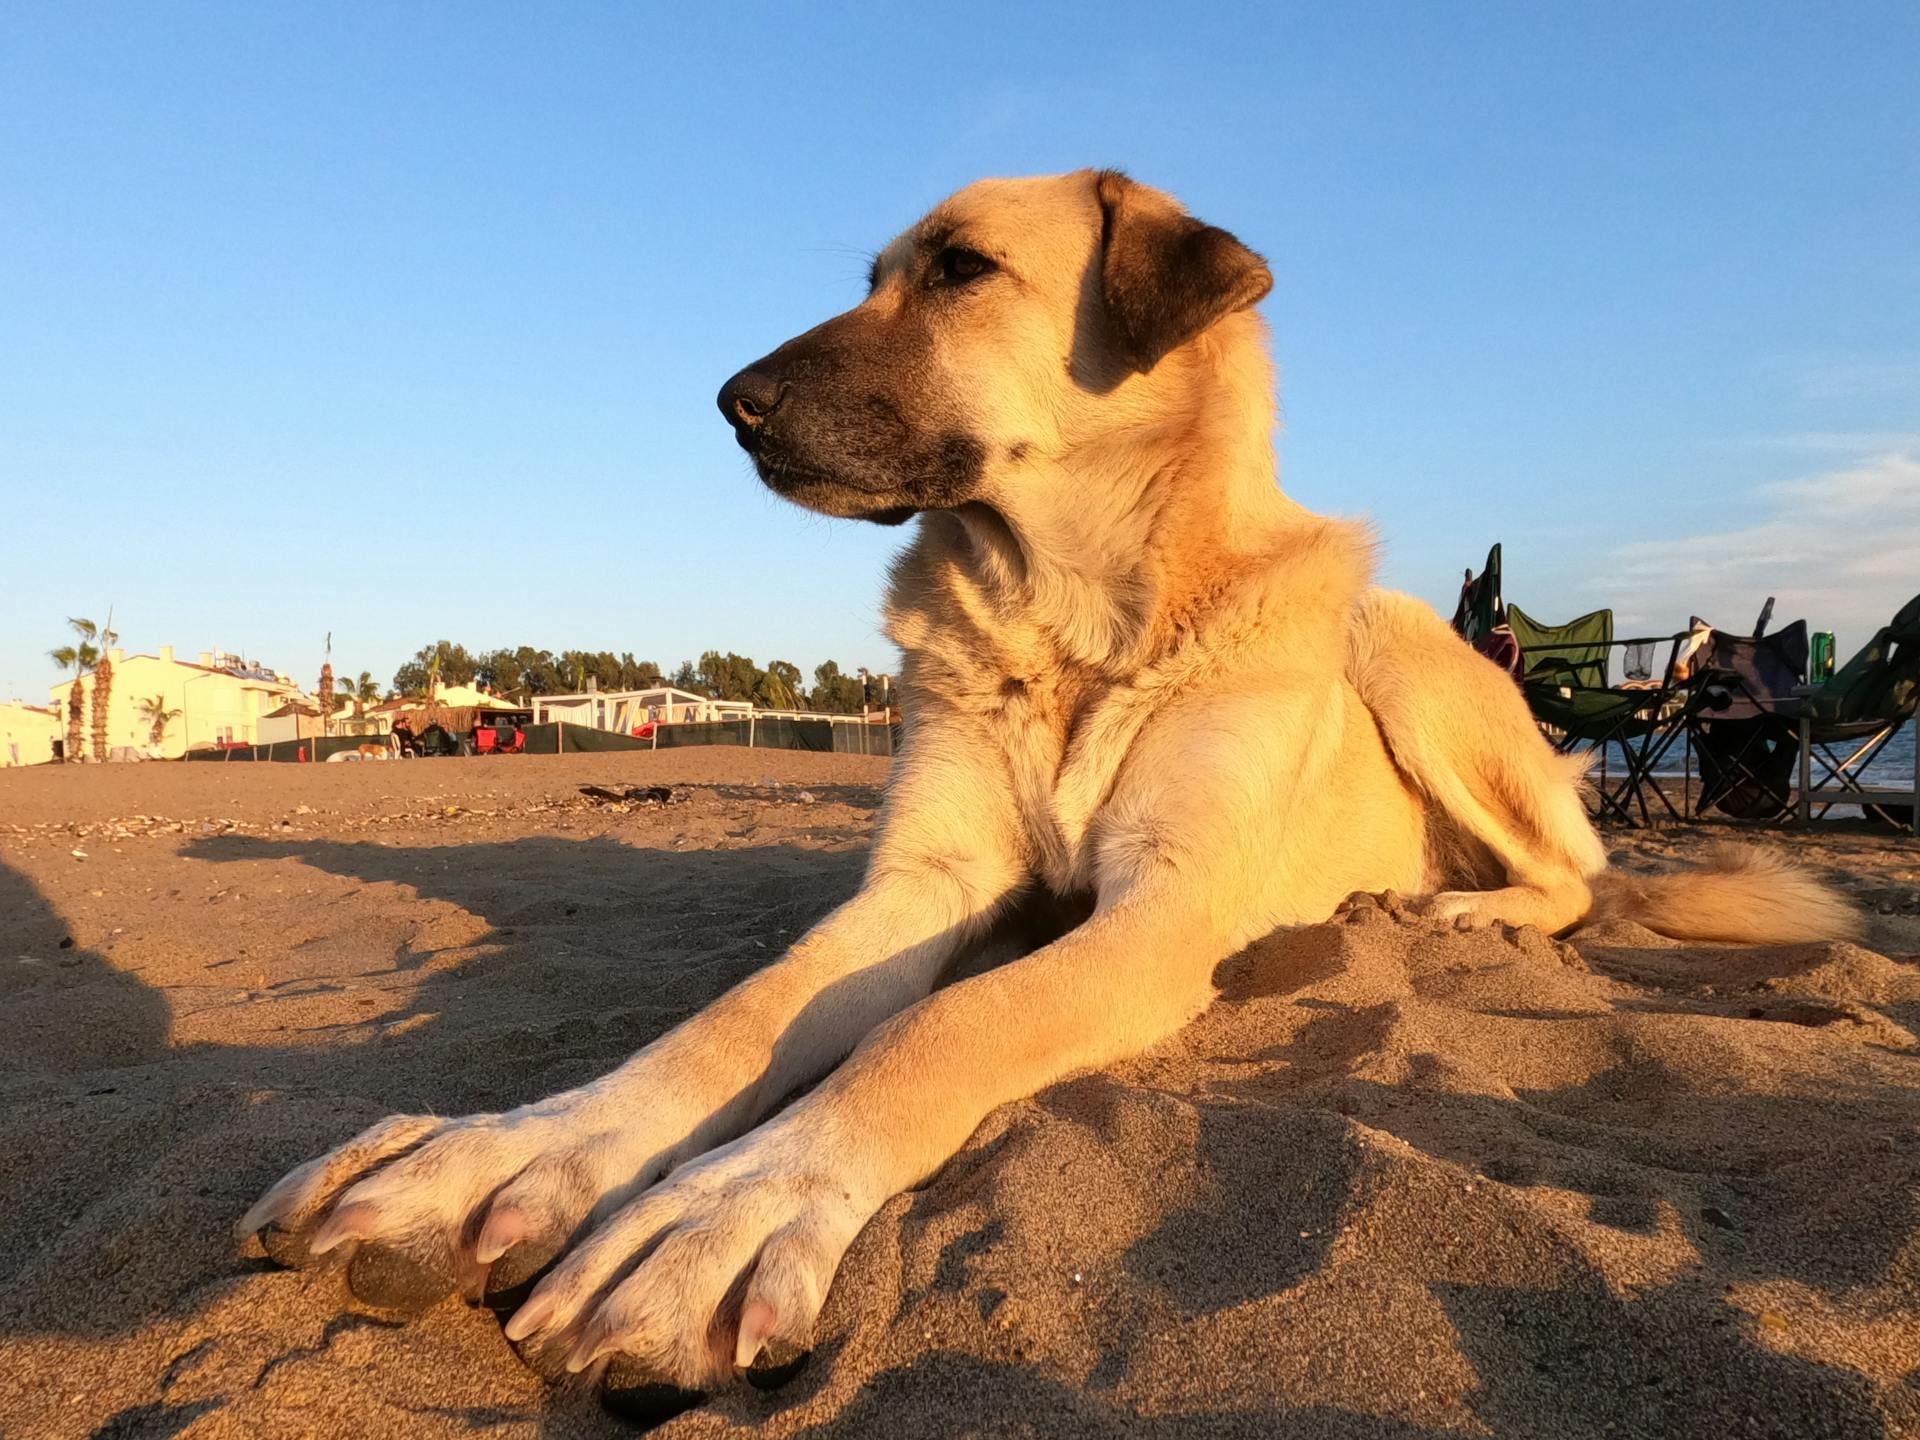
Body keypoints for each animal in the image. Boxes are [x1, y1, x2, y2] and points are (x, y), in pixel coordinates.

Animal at [232, 168, 1850, 1397]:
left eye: (962, 270)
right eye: (877, 275)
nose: (730, 400)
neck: (1073, 618)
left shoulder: (1159, 917)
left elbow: (938, 1032)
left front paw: (730, 1207)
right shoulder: (926, 885)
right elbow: (736, 1023)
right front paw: (501, 1158)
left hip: (1399, 646)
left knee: (1580, 878)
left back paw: (1460, 914)